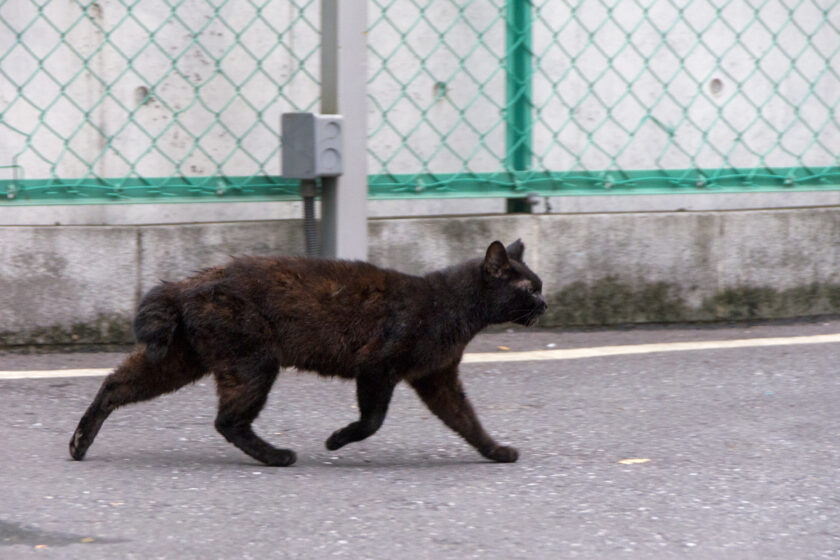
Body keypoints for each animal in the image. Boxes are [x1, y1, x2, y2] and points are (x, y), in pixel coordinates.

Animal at [70, 240, 544, 464]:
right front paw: (336, 440)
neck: (454, 306)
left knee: (115, 385)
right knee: (227, 421)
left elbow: (468, 422)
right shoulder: (378, 366)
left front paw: (496, 451)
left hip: (179, 359)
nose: (544, 303)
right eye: (529, 287)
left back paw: (79, 443)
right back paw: (277, 457)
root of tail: (187, 282)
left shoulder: (437, 378)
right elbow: (372, 420)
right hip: (253, 362)